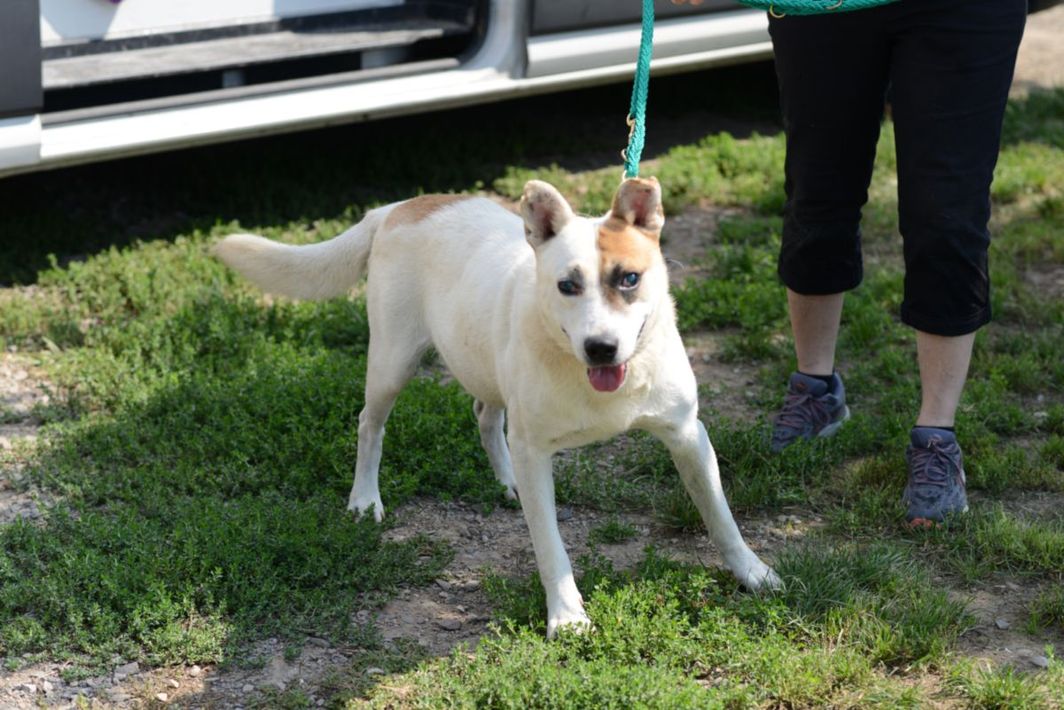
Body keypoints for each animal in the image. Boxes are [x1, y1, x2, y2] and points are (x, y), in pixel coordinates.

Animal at [214, 177, 779, 637]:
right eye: (567, 285)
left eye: (629, 279)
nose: (600, 348)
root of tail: (401, 205)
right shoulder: (534, 451)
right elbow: (550, 546)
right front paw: (567, 616)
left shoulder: (687, 436)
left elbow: (720, 515)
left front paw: (753, 571)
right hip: (392, 363)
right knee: (369, 425)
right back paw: (365, 499)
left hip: (480, 360)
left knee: (485, 416)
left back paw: (506, 482)